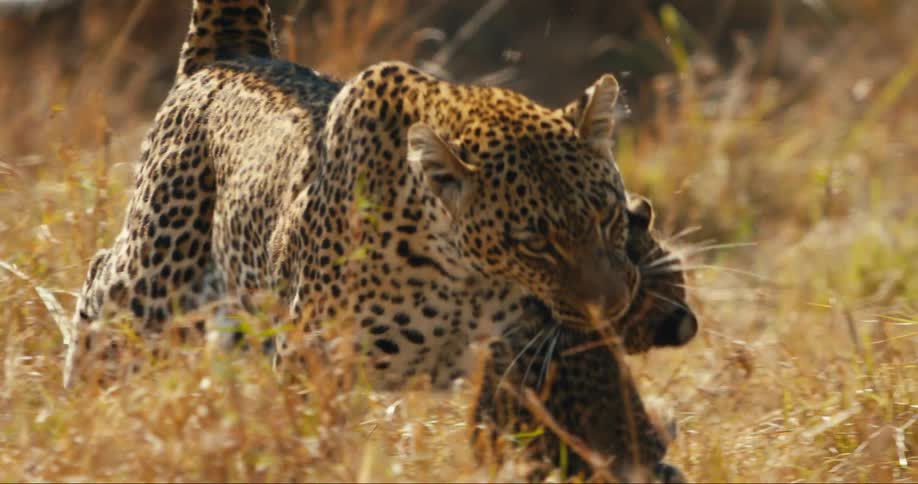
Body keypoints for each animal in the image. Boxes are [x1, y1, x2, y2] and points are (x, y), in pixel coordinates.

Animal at [67, 0, 697, 479]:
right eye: (534, 243)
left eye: (610, 216)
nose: (611, 306)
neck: (467, 276)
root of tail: (235, 56)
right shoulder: (312, 356)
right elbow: (312, 439)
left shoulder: (526, 358)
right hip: (158, 275)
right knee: (102, 280)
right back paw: (83, 402)